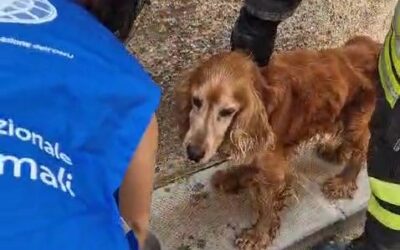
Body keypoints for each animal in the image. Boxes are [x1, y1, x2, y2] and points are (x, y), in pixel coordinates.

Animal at [175, 35, 382, 250]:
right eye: (196, 101)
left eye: (227, 111)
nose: (193, 153)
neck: (264, 102)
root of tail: (375, 46)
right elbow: (250, 164)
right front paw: (233, 177)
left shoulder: (274, 171)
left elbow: (267, 206)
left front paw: (257, 236)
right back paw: (335, 152)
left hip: (358, 118)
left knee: (362, 148)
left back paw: (344, 182)